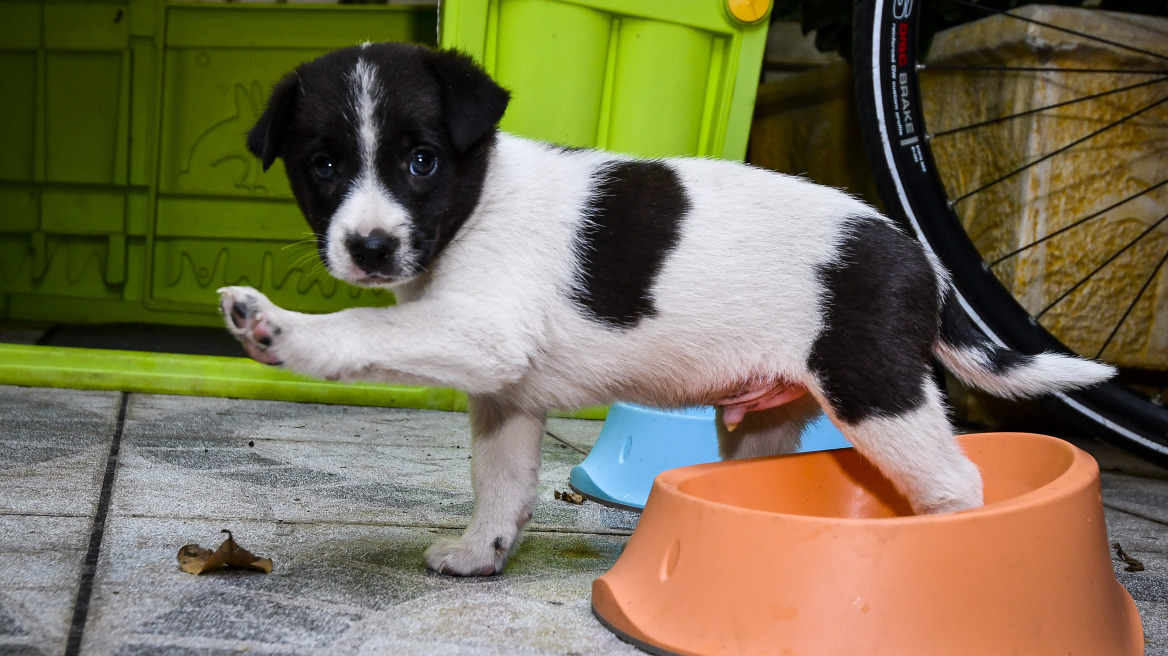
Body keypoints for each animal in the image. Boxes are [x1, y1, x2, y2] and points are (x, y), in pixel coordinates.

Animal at [219, 42, 1111, 571]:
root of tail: (921, 256)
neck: (475, 207)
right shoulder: (506, 395)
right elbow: (499, 484)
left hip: (875, 390)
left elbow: (364, 327)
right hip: (763, 421)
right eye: (323, 166)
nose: (368, 248)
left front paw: (281, 330)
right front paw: (481, 552)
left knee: (957, 483)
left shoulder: (483, 335)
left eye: (422, 160)